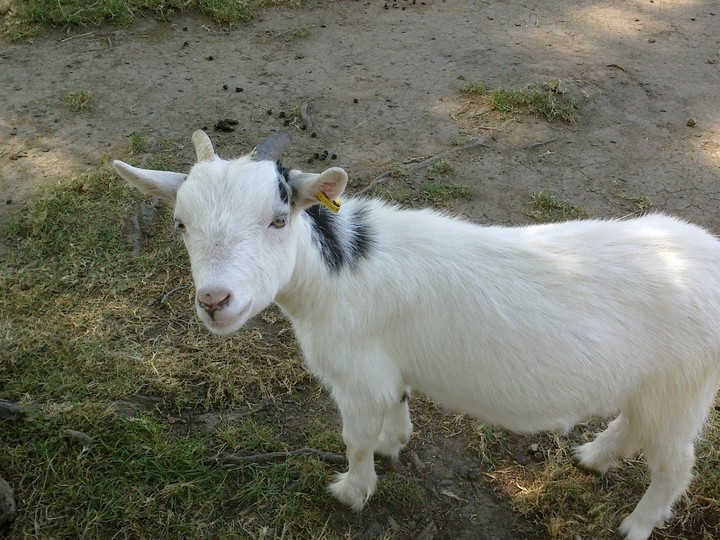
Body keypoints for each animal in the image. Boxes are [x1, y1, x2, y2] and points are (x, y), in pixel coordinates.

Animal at [114, 131, 720, 540]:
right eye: (180, 224)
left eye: (278, 220)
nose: (215, 301)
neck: (336, 272)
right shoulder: (386, 367)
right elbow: (397, 404)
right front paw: (396, 442)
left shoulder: (356, 376)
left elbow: (354, 439)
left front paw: (352, 492)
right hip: (655, 387)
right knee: (633, 425)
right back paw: (593, 456)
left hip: (681, 389)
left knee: (675, 466)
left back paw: (635, 525)